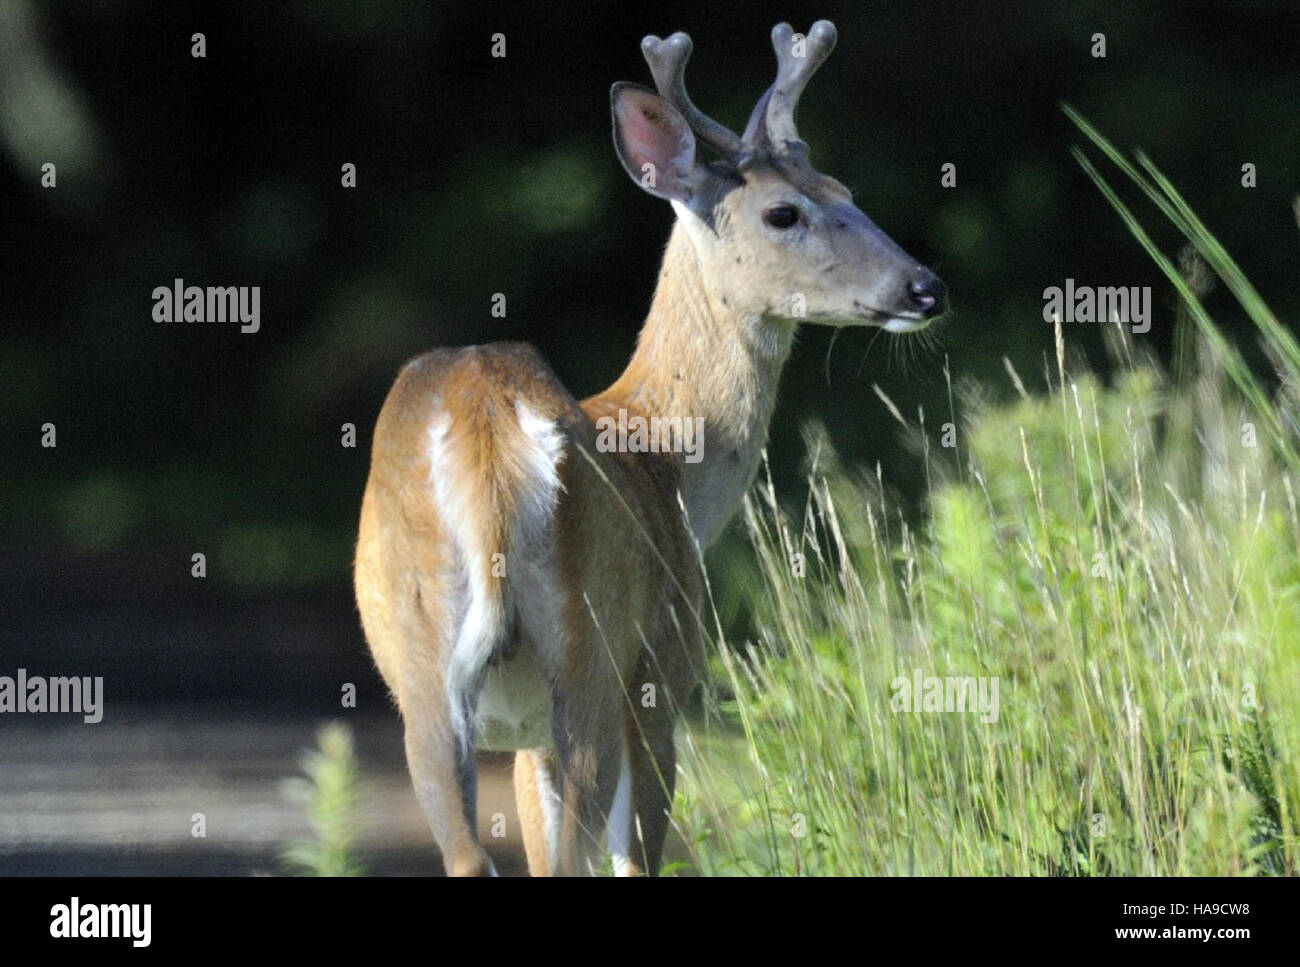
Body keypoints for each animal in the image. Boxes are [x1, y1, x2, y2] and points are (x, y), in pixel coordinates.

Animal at [353, 19, 947, 877]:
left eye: (848, 192)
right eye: (783, 212)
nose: (925, 288)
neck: (665, 456)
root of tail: (484, 424)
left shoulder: (525, 738)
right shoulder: (664, 675)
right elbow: (636, 856)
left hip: (422, 673)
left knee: (470, 851)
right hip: (594, 656)